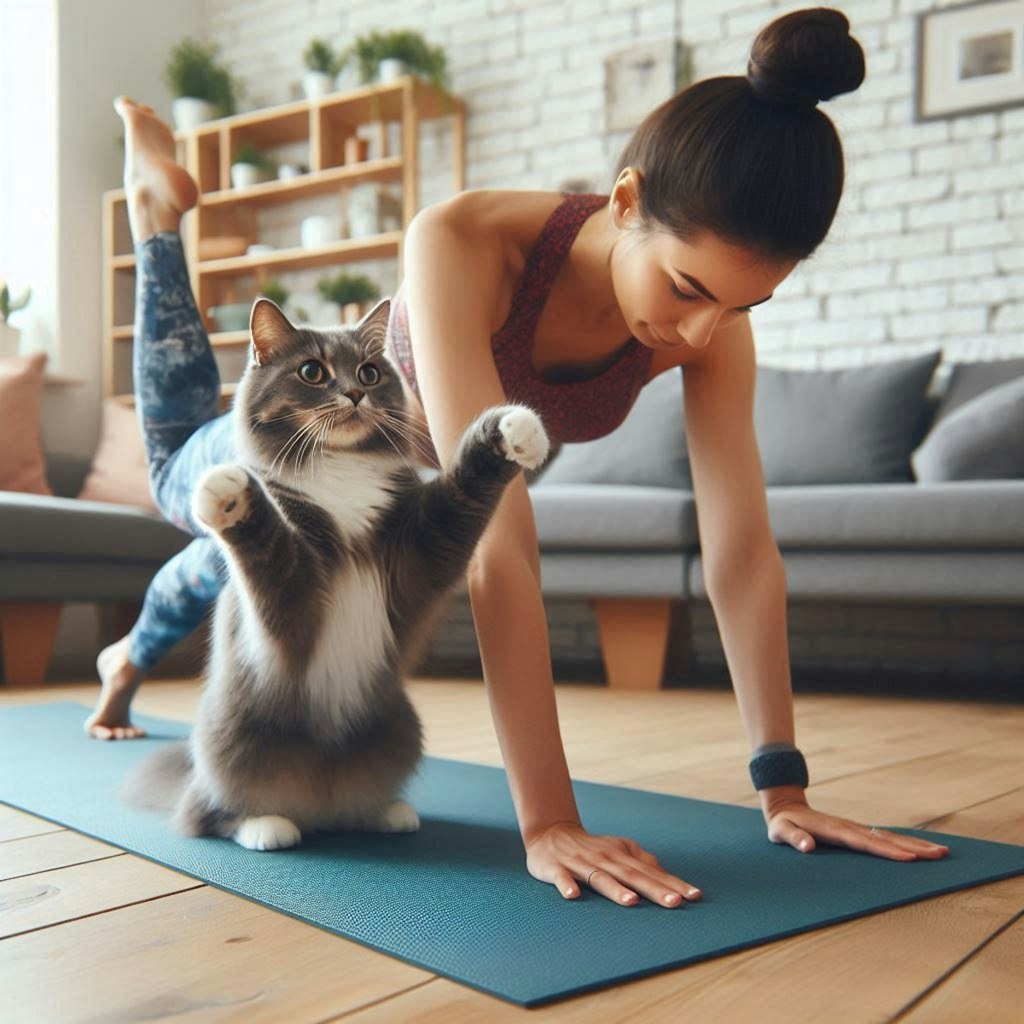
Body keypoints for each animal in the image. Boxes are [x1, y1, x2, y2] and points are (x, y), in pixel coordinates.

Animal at [130, 299, 552, 856]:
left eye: (370, 373)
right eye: (313, 372)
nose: (355, 392)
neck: (340, 468)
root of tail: (318, 802)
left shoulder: (420, 551)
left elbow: (463, 489)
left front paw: (514, 431)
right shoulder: (293, 596)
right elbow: (272, 546)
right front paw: (228, 492)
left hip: (399, 730)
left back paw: (386, 813)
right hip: (229, 741)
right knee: (208, 813)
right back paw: (267, 826)